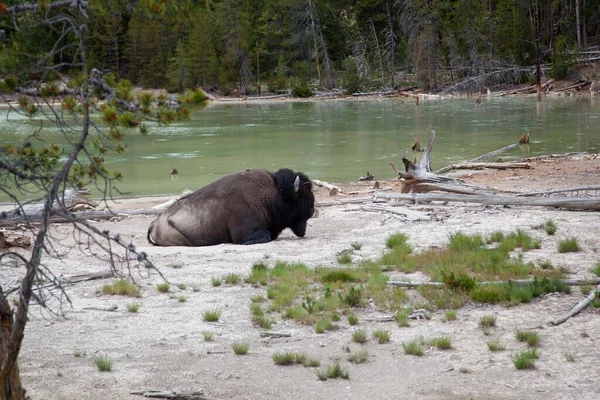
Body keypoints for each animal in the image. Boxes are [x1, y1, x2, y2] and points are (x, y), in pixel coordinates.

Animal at [146, 167, 314, 245]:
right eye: (302, 196)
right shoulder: (244, 232)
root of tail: (155, 223)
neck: (275, 193)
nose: (312, 210)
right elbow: (263, 235)